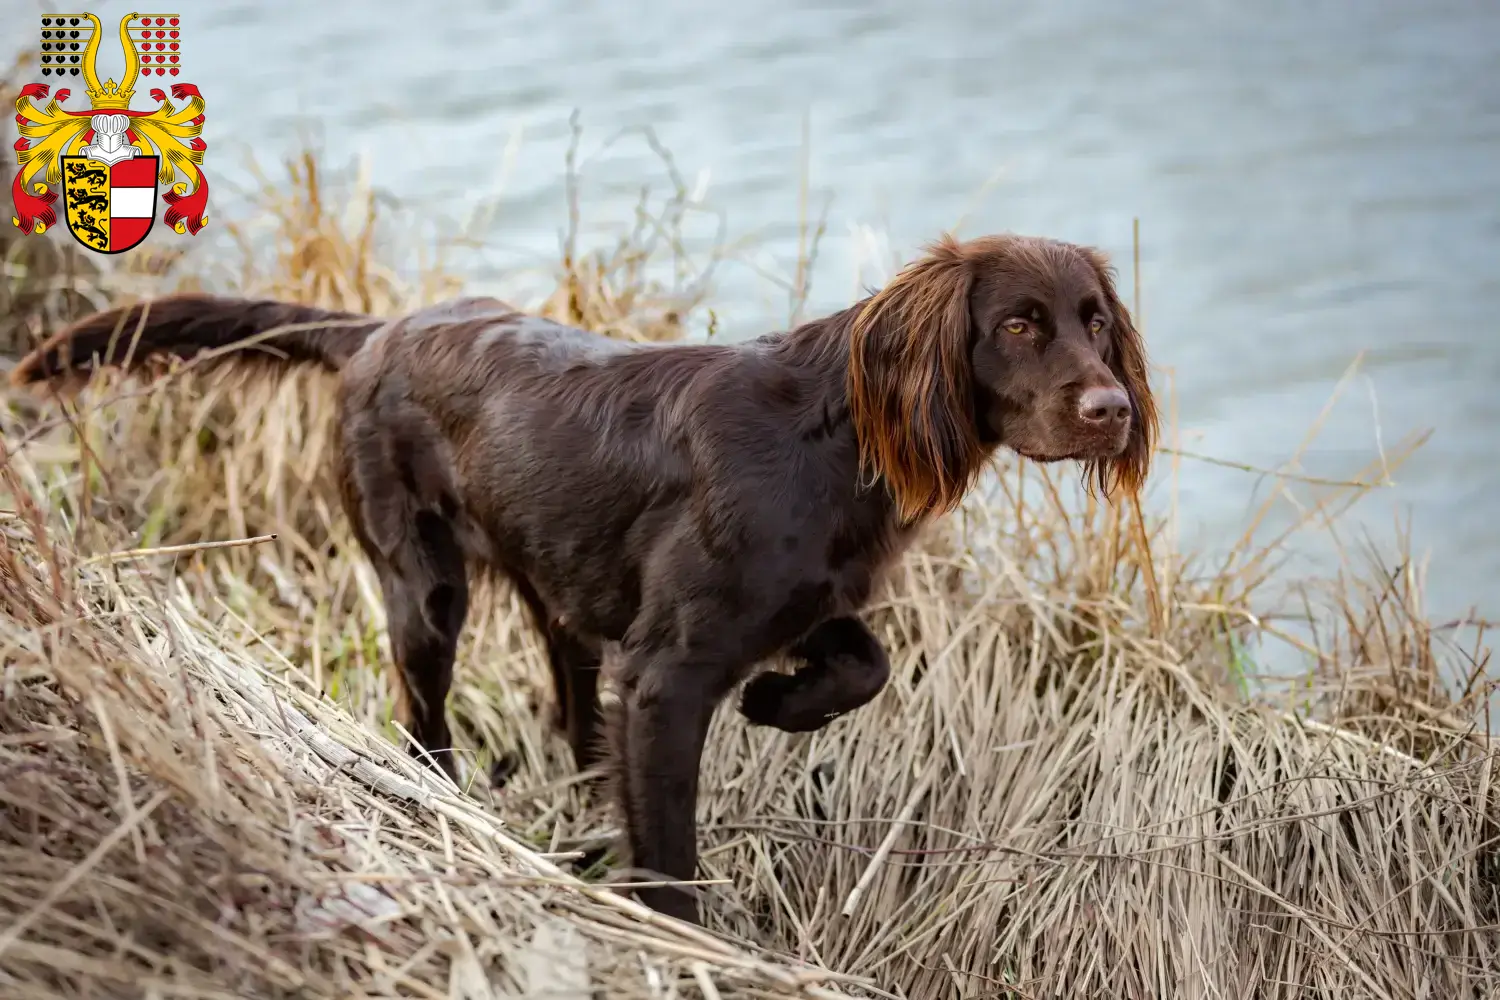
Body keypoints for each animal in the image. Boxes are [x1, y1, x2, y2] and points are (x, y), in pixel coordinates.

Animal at [14, 232, 1158, 923]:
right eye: (1018, 323)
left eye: (1096, 319)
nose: (1112, 409)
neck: (831, 436)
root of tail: (381, 328)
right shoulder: (665, 676)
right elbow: (672, 854)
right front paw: (693, 943)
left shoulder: (801, 604)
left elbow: (863, 664)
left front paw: (779, 702)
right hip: (423, 587)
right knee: (424, 719)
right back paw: (451, 799)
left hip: (555, 592)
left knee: (567, 708)